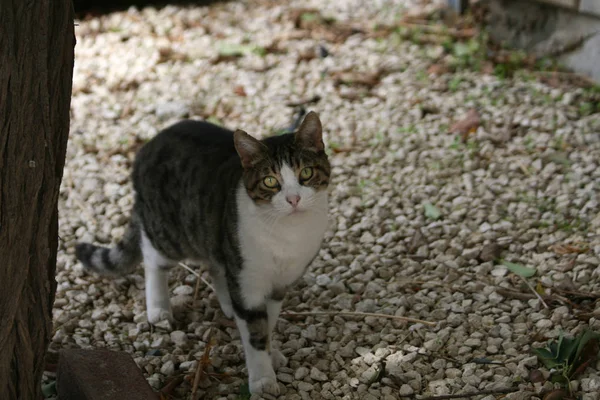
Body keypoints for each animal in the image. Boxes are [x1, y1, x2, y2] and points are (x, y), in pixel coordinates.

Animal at [74, 111, 332, 396]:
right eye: (270, 181)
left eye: (306, 173)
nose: (294, 199)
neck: (289, 233)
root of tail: (145, 148)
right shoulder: (249, 281)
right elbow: (255, 331)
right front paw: (263, 379)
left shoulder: (279, 283)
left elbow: (270, 320)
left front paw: (271, 351)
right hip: (171, 234)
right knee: (152, 255)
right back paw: (159, 308)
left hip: (215, 237)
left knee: (215, 264)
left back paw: (228, 304)